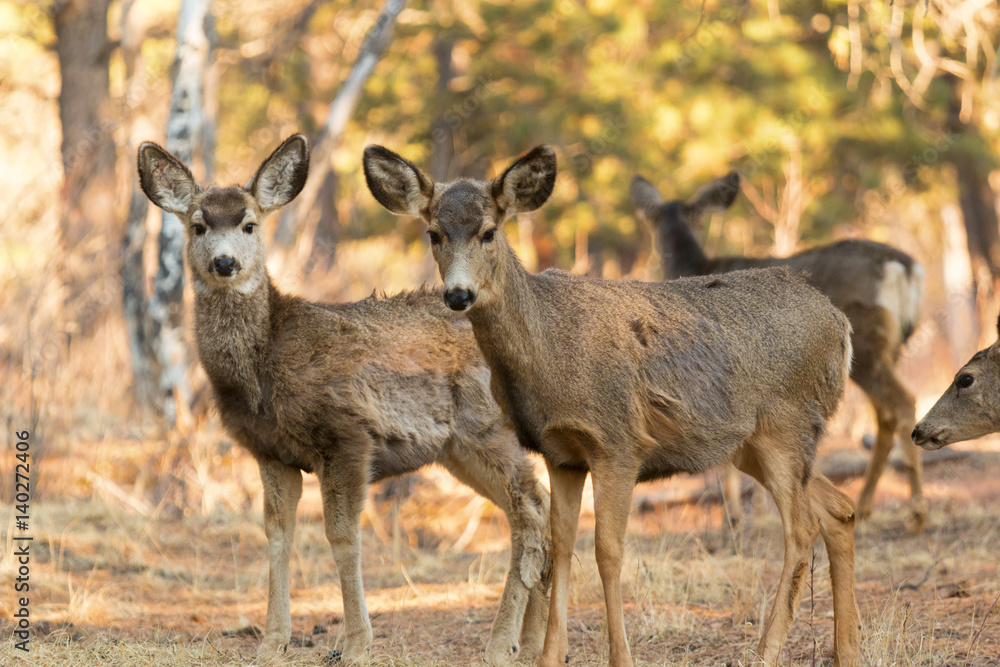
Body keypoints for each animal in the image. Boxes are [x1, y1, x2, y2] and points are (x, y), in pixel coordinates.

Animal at [136, 134, 552, 664]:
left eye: (250, 223)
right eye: (197, 225)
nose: (224, 263)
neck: (264, 370)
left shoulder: (347, 434)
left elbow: (342, 536)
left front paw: (355, 642)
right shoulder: (270, 452)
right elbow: (277, 534)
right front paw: (272, 641)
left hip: (485, 426)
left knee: (530, 507)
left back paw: (501, 642)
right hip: (458, 450)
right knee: (535, 504)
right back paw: (533, 641)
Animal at [366, 146, 860, 667]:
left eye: (488, 231)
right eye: (433, 233)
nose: (458, 295)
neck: (549, 350)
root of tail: (840, 322)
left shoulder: (618, 442)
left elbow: (608, 550)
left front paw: (620, 656)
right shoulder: (561, 453)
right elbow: (561, 546)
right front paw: (549, 656)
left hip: (786, 425)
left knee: (801, 529)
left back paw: (766, 651)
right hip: (754, 446)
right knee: (839, 509)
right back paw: (847, 649)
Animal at [632, 171, 928, 532]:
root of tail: (905, 267)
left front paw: (735, 517)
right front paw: (757, 511)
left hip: (867, 345)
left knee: (902, 401)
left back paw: (916, 513)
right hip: (889, 349)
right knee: (885, 415)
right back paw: (865, 508)